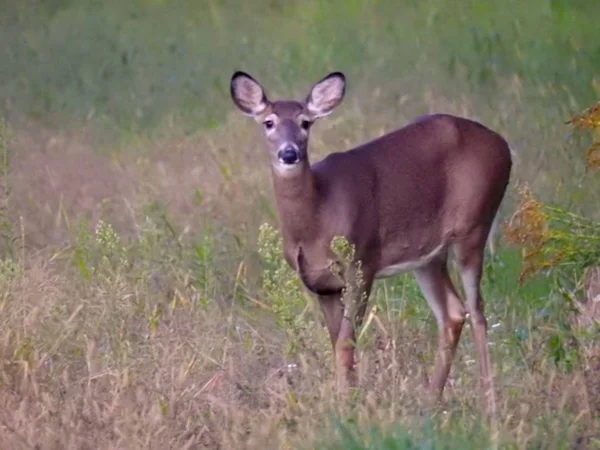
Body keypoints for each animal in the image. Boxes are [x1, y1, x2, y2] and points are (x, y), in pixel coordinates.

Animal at [230, 71, 510, 414]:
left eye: (305, 122)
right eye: (268, 122)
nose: (289, 153)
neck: (317, 217)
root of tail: (503, 145)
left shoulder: (362, 263)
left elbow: (346, 343)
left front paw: (346, 406)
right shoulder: (322, 285)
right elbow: (338, 343)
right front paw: (349, 400)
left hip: (474, 225)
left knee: (478, 312)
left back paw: (490, 404)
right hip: (428, 255)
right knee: (454, 312)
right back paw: (431, 401)